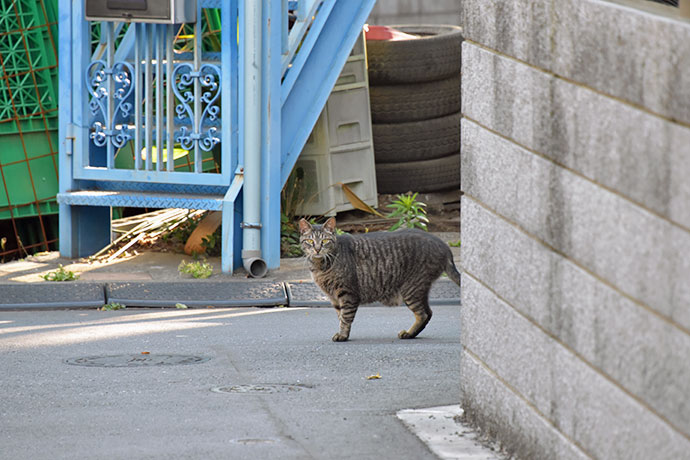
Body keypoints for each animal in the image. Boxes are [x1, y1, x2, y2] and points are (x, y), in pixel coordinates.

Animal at [298, 217, 460, 342]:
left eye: (325, 240)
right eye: (310, 241)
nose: (317, 249)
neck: (320, 266)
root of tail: (444, 245)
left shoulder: (348, 293)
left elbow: (345, 317)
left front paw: (343, 335)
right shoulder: (334, 298)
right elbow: (340, 316)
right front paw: (343, 333)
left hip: (411, 288)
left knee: (423, 314)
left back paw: (408, 333)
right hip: (419, 289)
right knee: (429, 312)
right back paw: (411, 334)